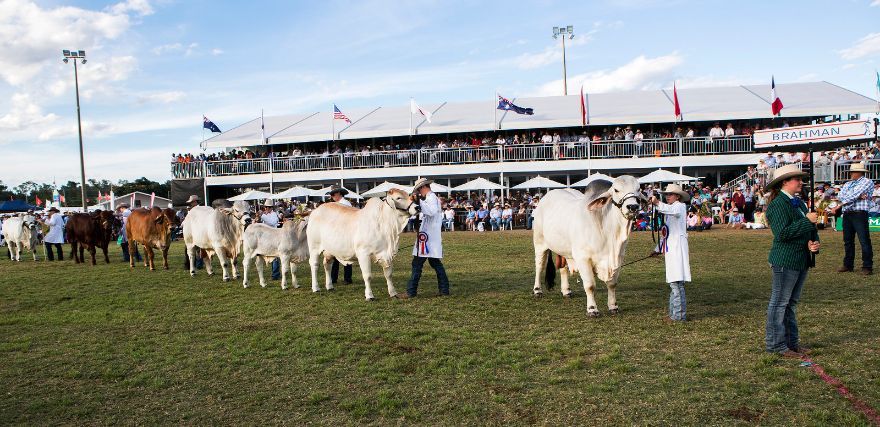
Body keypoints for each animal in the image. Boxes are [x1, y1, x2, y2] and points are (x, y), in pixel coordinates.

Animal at [528, 175, 648, 318]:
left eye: (638, 189)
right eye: (616, 190)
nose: (633, 206)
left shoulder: (618, 258)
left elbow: (612, 284)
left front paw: (613, 306)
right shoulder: (583, 258)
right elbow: (590, 285)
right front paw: (592, 309)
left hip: (564, 249)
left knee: (563, 268)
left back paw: (566, 291)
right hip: (539, 243)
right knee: (539, 266)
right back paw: (537, 290)